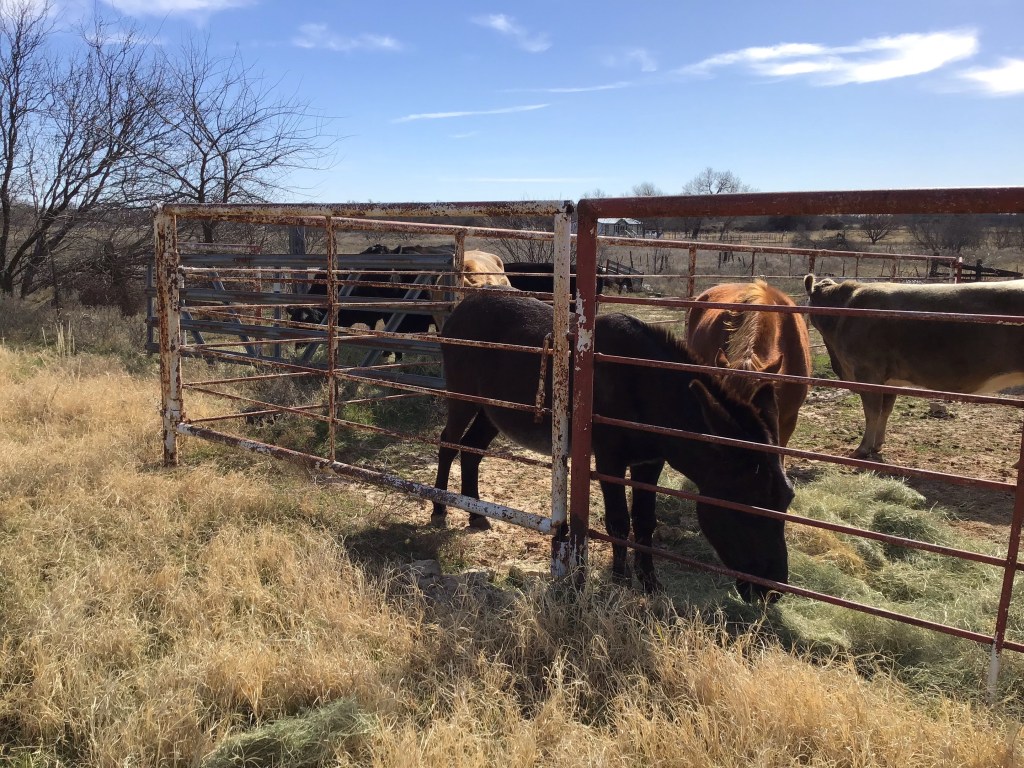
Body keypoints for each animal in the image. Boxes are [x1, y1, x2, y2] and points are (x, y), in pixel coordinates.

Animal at [433, 291, 794, 602]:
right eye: (745, 505)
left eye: (787, 500)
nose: (773, 591)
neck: (649, 391)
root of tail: (462, 307)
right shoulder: (609, 459)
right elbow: (618, 521)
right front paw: (619, 581)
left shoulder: (649, 462)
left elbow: (645, 522)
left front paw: (649, 582)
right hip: (463, 398)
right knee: (448, 444)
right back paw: (439, 509)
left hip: (492, 411)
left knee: (472, 449)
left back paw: (475, 512)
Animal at [803, 274, 1024, 458]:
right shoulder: (890, 380)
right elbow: (885, 410)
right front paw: (877, 444)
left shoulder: (868, 372)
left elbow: (872, 411)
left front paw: (863, 448)